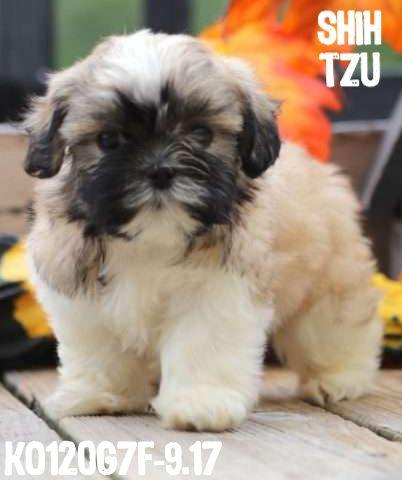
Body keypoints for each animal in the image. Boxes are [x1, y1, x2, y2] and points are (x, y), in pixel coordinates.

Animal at [24, 30, 382, 432]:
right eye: (108, 140)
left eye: (201, 133)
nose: (160, 169)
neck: (154, 237)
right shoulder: (76, 283)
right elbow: (98, 346)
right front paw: (101, 395)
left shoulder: (219, 290)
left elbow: (202, 344)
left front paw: (200, 404)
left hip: (325, 287)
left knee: (334, 332)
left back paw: (338, 379)